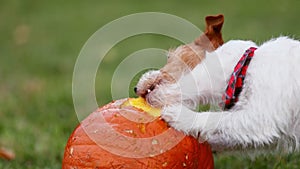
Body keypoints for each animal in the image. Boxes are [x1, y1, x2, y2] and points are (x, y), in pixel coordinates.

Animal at [136, 15, 300, 153]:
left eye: (171, 56)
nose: (136, 87)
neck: (243, 68)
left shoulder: (261, 116)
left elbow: (217, 119)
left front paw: (180, 115)